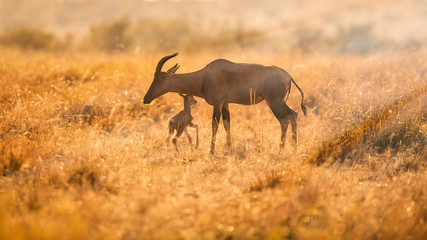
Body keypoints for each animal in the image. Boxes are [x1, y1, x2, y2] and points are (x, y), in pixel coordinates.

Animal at [144, 52, 308, 154]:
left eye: (159, 78)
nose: (145, 99)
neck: (205, 75)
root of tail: (288, 75)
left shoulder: (218, 102)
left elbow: (214, 124)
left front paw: (211, 151)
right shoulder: (225, 103)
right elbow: (227, 124)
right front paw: (229, 148)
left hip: (274, 101)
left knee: (284, 119)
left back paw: (282, 149)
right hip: (278, 101)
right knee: (293, 115)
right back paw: (293, 148)